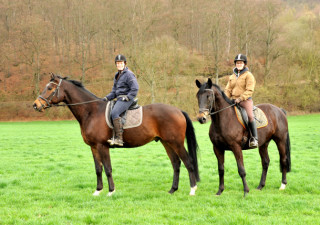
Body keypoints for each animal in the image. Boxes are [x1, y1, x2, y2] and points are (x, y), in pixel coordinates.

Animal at [33, 74, 200, 196]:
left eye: (49, 88)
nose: (36, 105)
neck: (91, 111)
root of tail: (178, 110)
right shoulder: (93, 147)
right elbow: (98, 169)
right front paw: (97, 191)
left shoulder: (102, 146)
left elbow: (108, 169)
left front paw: (111, 191)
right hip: (167, 143)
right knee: (176, 164)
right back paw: (172, 190)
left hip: (176, 143)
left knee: (188, 162)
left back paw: (192, 190)